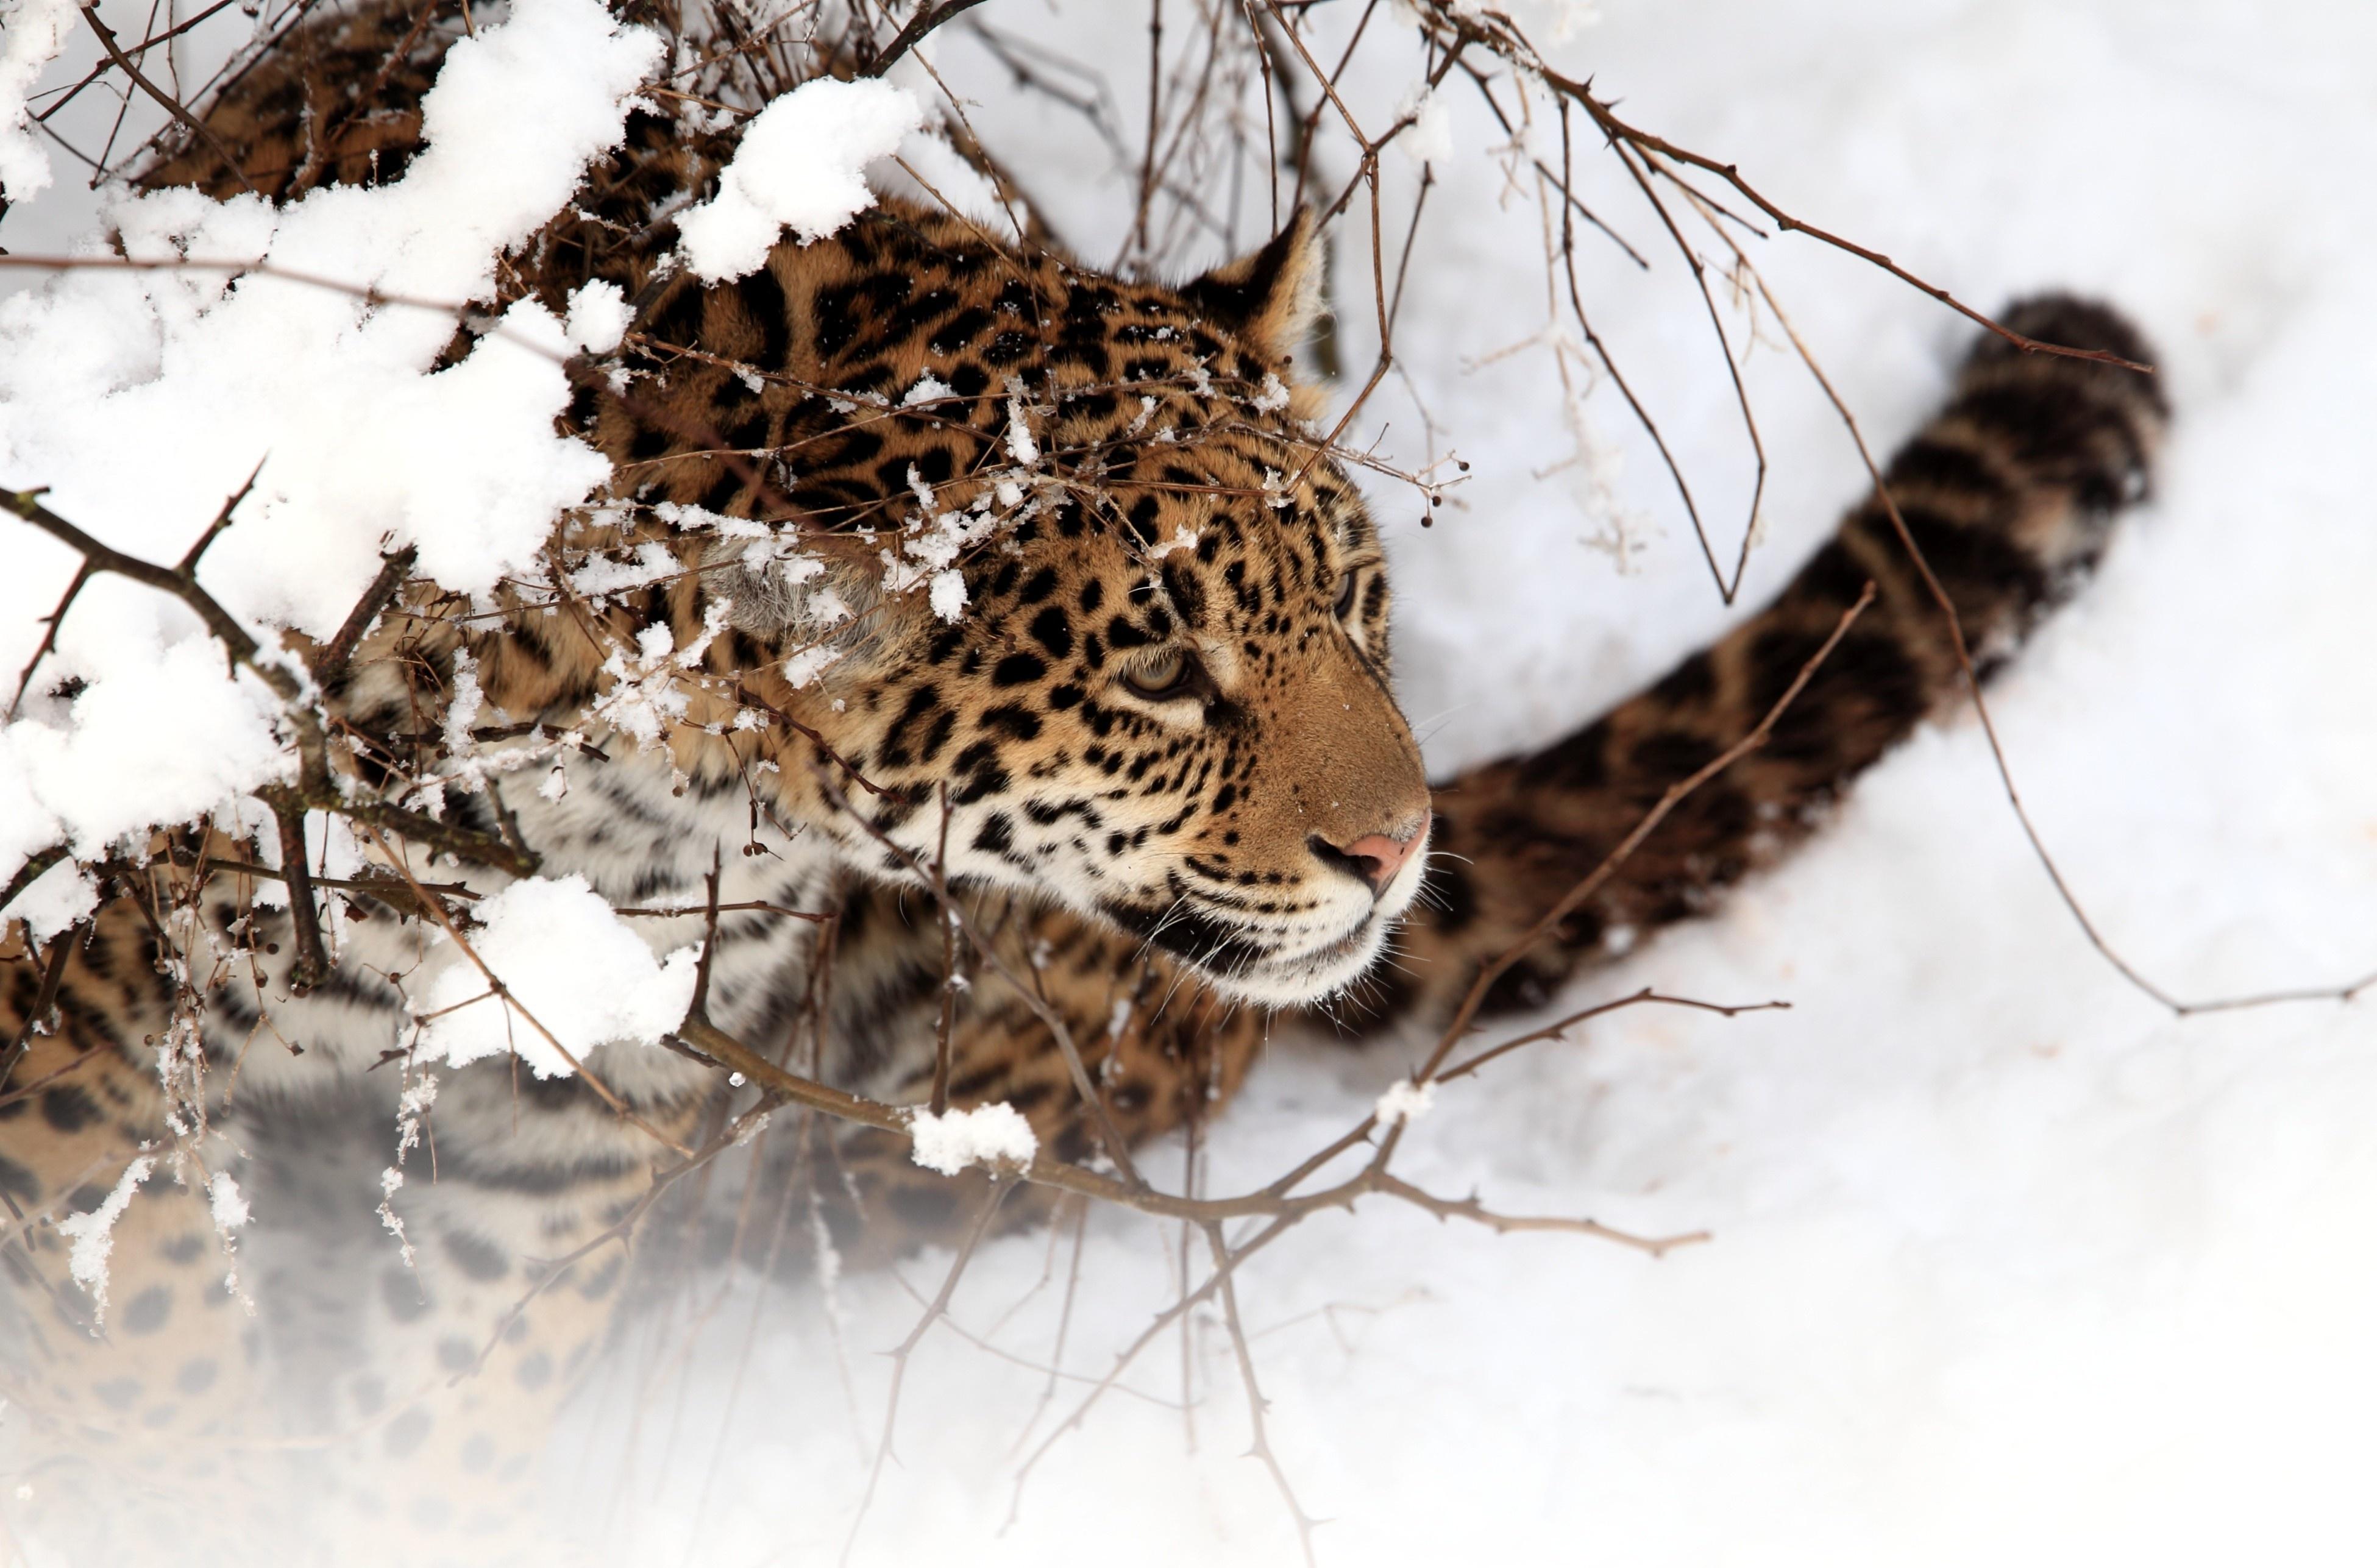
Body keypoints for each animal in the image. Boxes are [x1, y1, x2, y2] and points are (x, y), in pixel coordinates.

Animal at [0, 6, 2167, 1558]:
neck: (619, 788)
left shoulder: (575, 1098)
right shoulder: (75, 1025)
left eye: (1353, 603)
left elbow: (450, 1402)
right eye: (1157, 671)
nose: (1393, 845)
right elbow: (147, 1366)